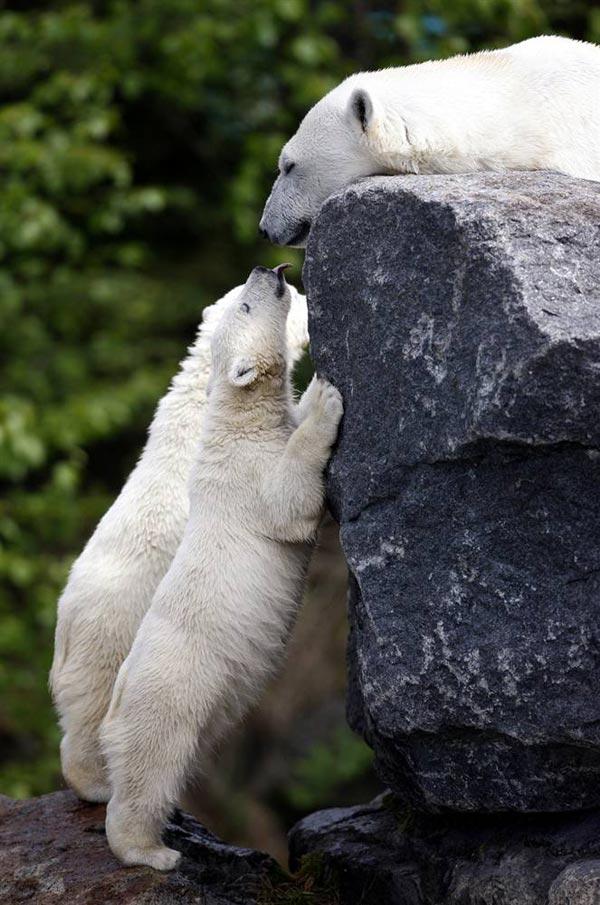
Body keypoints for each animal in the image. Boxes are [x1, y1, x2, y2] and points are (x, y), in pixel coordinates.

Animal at [99, 262, 342, 868]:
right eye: (246, 306)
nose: (268, 268)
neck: (236, 418)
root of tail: (114, 706)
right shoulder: (246, 474)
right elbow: (289, 502)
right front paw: (328, 400)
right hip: (170, 693)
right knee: (152, 768)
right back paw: (153, 851)